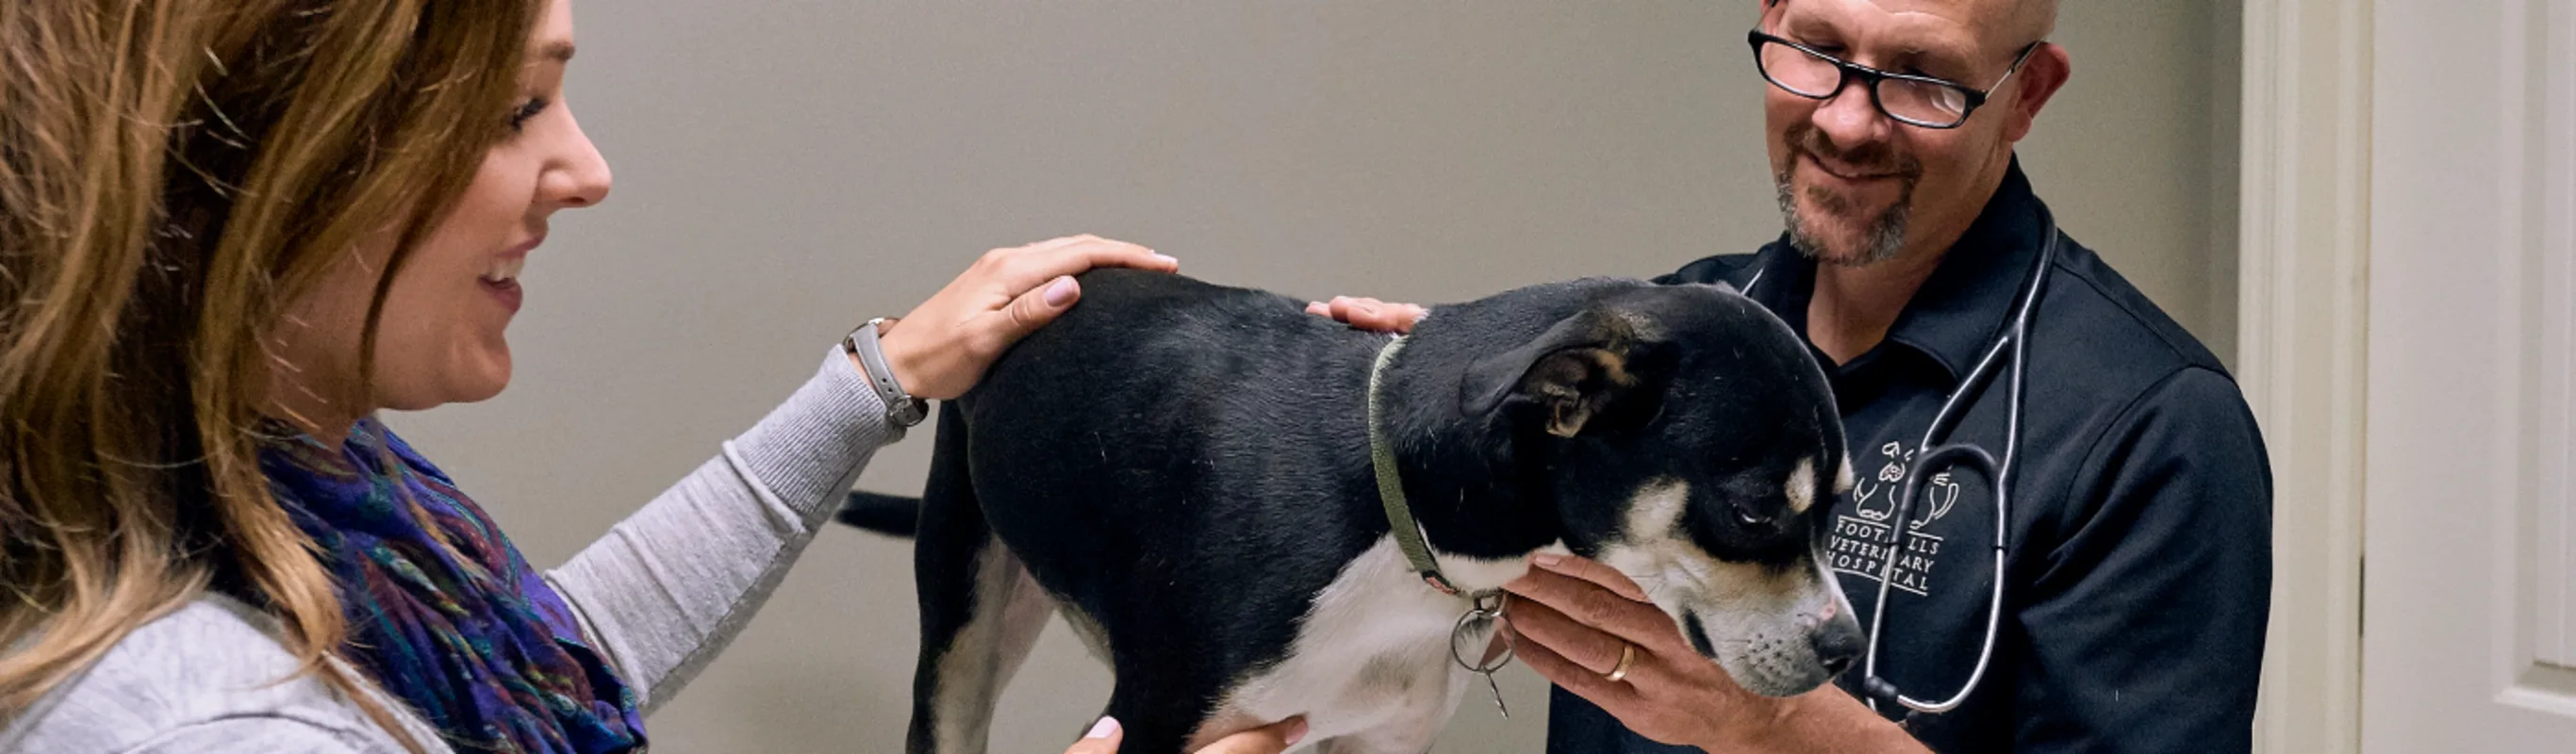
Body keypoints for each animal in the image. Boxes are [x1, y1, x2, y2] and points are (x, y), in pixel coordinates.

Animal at [845, 270, 1874, 751]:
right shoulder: (1156, 723)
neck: (1395, 519)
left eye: (1839, 507)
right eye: (1754, 510)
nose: (1843, 649)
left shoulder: (1376, 738)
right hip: (963, 633)